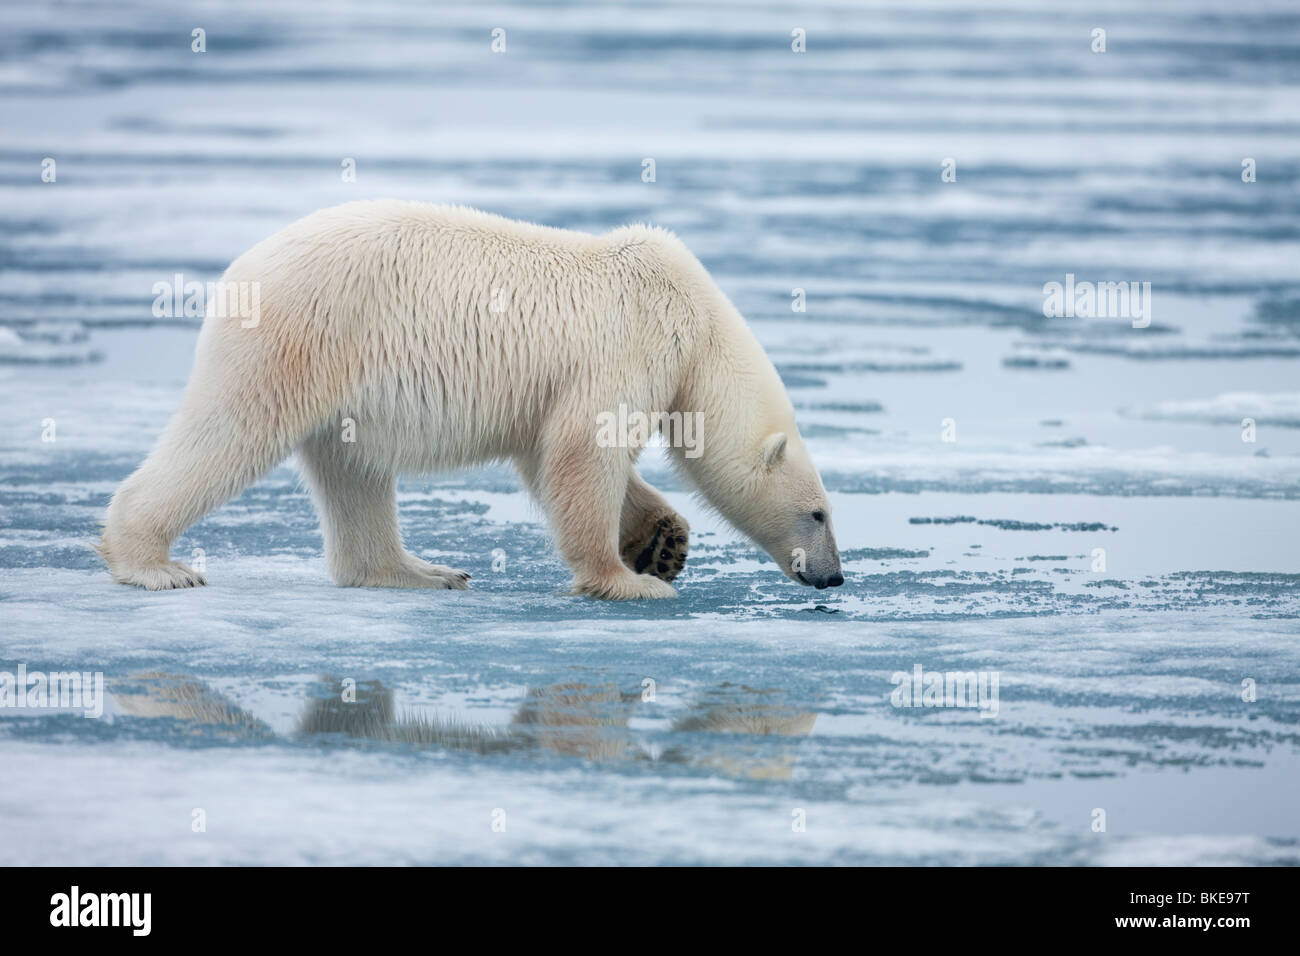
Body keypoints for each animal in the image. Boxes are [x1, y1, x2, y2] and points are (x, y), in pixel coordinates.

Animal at [101, 201, 842, 598]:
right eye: (819, 513)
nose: (834, 577)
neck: (698, 324)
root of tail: (240, 270)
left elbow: (548, 459)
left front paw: (662, 542)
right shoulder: (630, 344)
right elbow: (583, 449)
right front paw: (630, 578)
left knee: (354, 471)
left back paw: (420, 571)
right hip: (299, 338)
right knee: (229, 433)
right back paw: (154, 564)